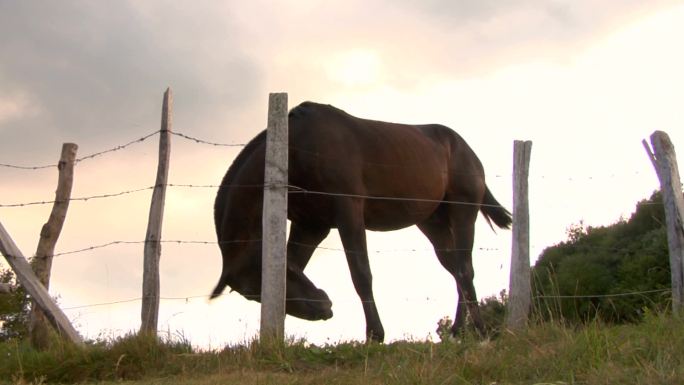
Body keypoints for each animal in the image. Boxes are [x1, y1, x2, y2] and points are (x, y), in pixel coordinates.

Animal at [211, 100, 510, 340]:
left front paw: (375, 335)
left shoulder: (348, 213)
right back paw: (457, 331)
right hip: (432, 224)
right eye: (253, 292)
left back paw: (480, 332)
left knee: (465, 269)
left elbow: (361, 274)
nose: (323, 307)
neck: (298, 148)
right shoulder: (310, 226)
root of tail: (465, 148)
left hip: (463, 213)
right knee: (455, 269)